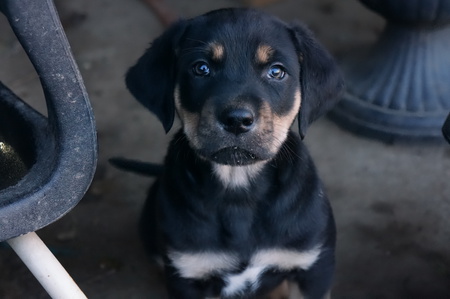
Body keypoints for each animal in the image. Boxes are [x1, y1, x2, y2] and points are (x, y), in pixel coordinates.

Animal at [123, 7, 342, 299]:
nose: (237, 120)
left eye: (277, 71)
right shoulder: (188, 274)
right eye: (201, 68)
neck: (239, 189)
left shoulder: (313, 268)